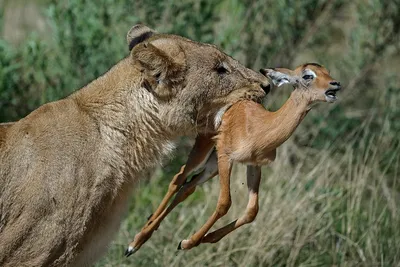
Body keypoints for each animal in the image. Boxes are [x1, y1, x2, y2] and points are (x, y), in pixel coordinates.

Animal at [127, 62, 340, 255]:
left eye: (327, 71)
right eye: (307, 75)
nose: (335, 84)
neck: (261, 127)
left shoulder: (253, 166)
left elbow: (252, 211)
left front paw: (205, 238)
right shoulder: (226, 158)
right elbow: (224, 203)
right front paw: (188, 242)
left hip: (212, 165)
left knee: (188, 187)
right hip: (204, 150)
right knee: (178, 178)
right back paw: (134, 243)